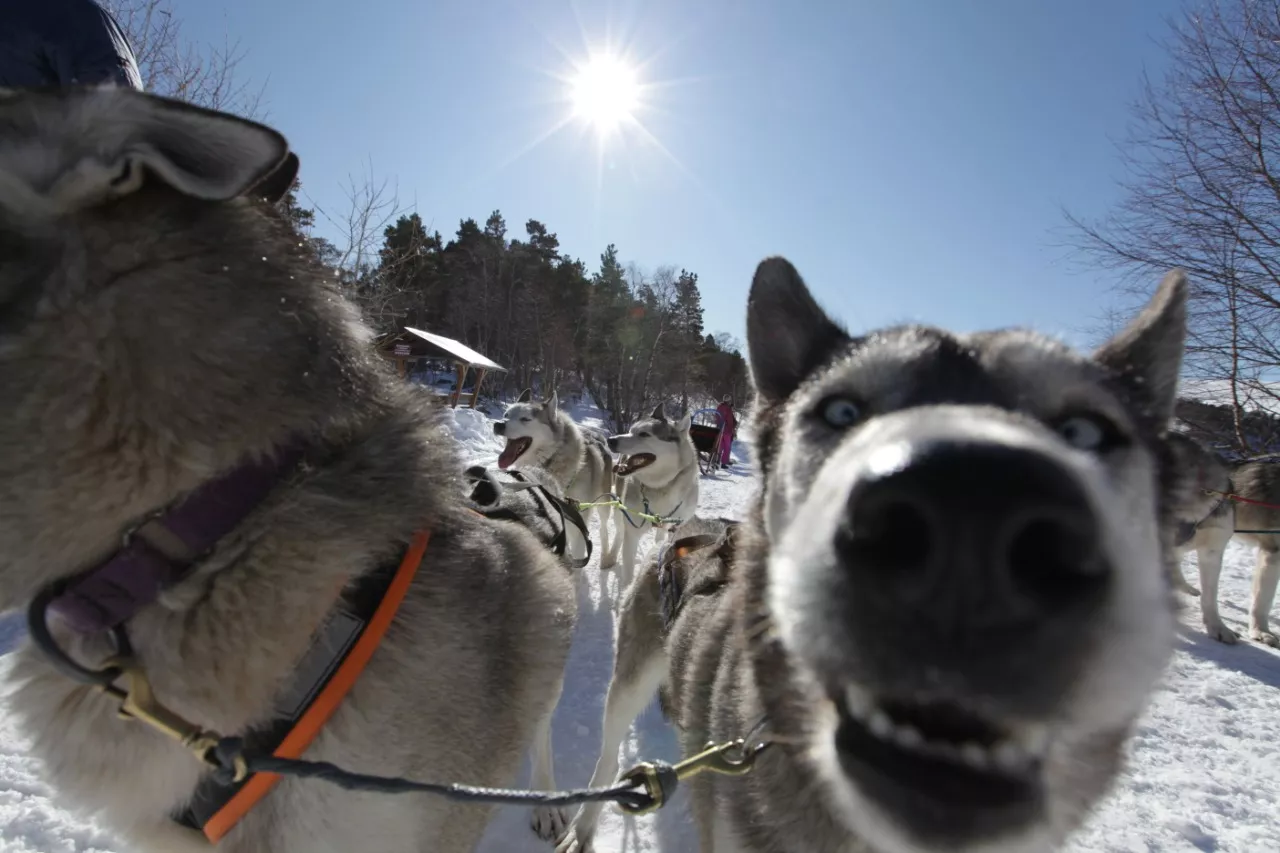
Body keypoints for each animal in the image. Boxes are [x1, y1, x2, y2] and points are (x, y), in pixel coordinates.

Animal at [495, 389, 616, 568]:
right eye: (506, 414)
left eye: (525, 419)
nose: (498, 424)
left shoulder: (578, 530)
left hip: (603, 503)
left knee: (603, 528)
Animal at [603, 405, 701, 597]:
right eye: (631, 430)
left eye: (644, 434)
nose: (611, 440)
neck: (660, 487)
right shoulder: (632, 533)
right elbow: (628, 571)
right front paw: (626, 593)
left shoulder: (673, 528)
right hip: (619, 510)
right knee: (619, 533)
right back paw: (611, 556)